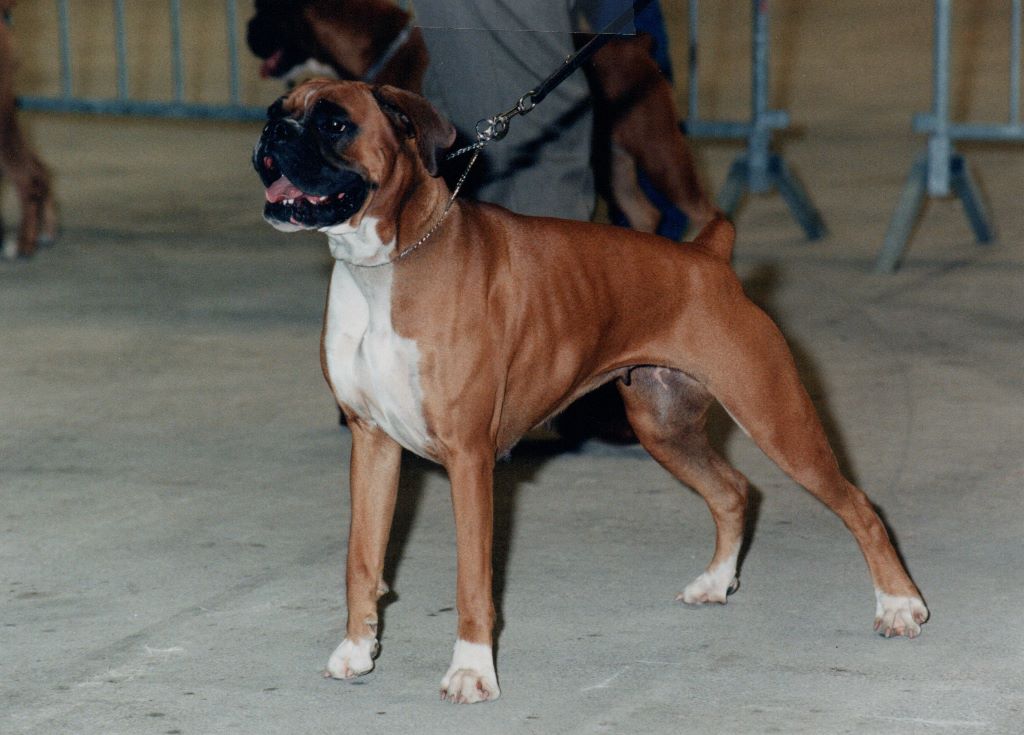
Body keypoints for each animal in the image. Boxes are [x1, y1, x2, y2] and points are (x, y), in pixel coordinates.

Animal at [253, 79, 929, 704]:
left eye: (335, 123)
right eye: (275, 112)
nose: (272, 137)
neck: (386, 268)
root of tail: (708, 258)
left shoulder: (469, 458)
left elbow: (472, 579)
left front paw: (471, 670)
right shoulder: (372, 444)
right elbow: (361, 558)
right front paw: (355, 649)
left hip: (776, 418)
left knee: (860, 507)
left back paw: (898, 605)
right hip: (664, 429)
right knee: (734, 491)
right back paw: (715, 583)